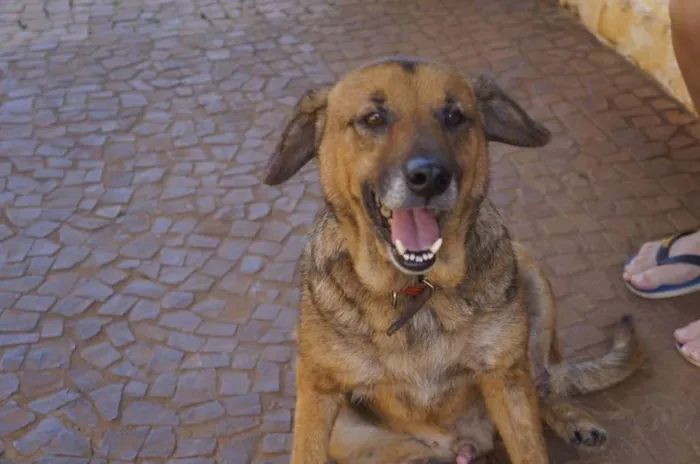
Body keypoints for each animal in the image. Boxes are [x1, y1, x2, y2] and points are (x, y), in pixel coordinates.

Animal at [262, 58, 644, 464]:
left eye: (454, 116)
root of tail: (464, 444)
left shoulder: (505, 377)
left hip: (529, 277)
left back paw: (573, 420)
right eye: (373, 118)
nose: (430, 177)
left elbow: (530, 446)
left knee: (544, 385)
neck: (415, 292)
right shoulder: (317, 390)